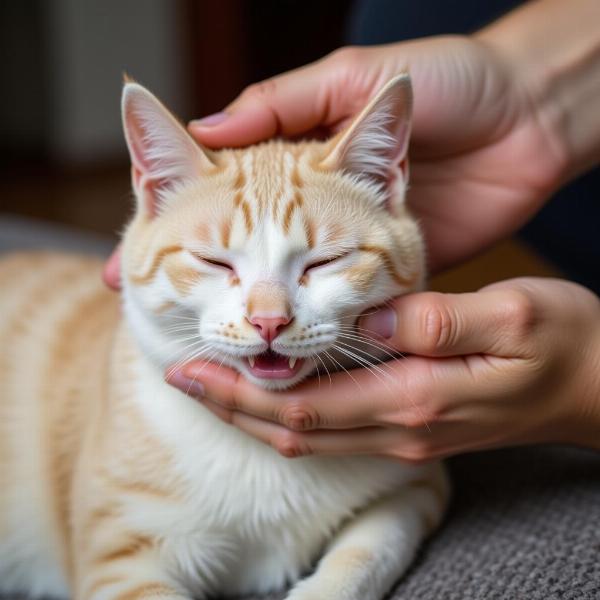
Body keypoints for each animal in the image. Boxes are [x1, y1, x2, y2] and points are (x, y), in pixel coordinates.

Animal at [0, 76, 448, 600]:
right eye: (213, 262)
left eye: (325, 262)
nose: (269, 321)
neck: (262, 459)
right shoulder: (120, 563)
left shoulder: (415, 489)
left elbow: (363, 557)